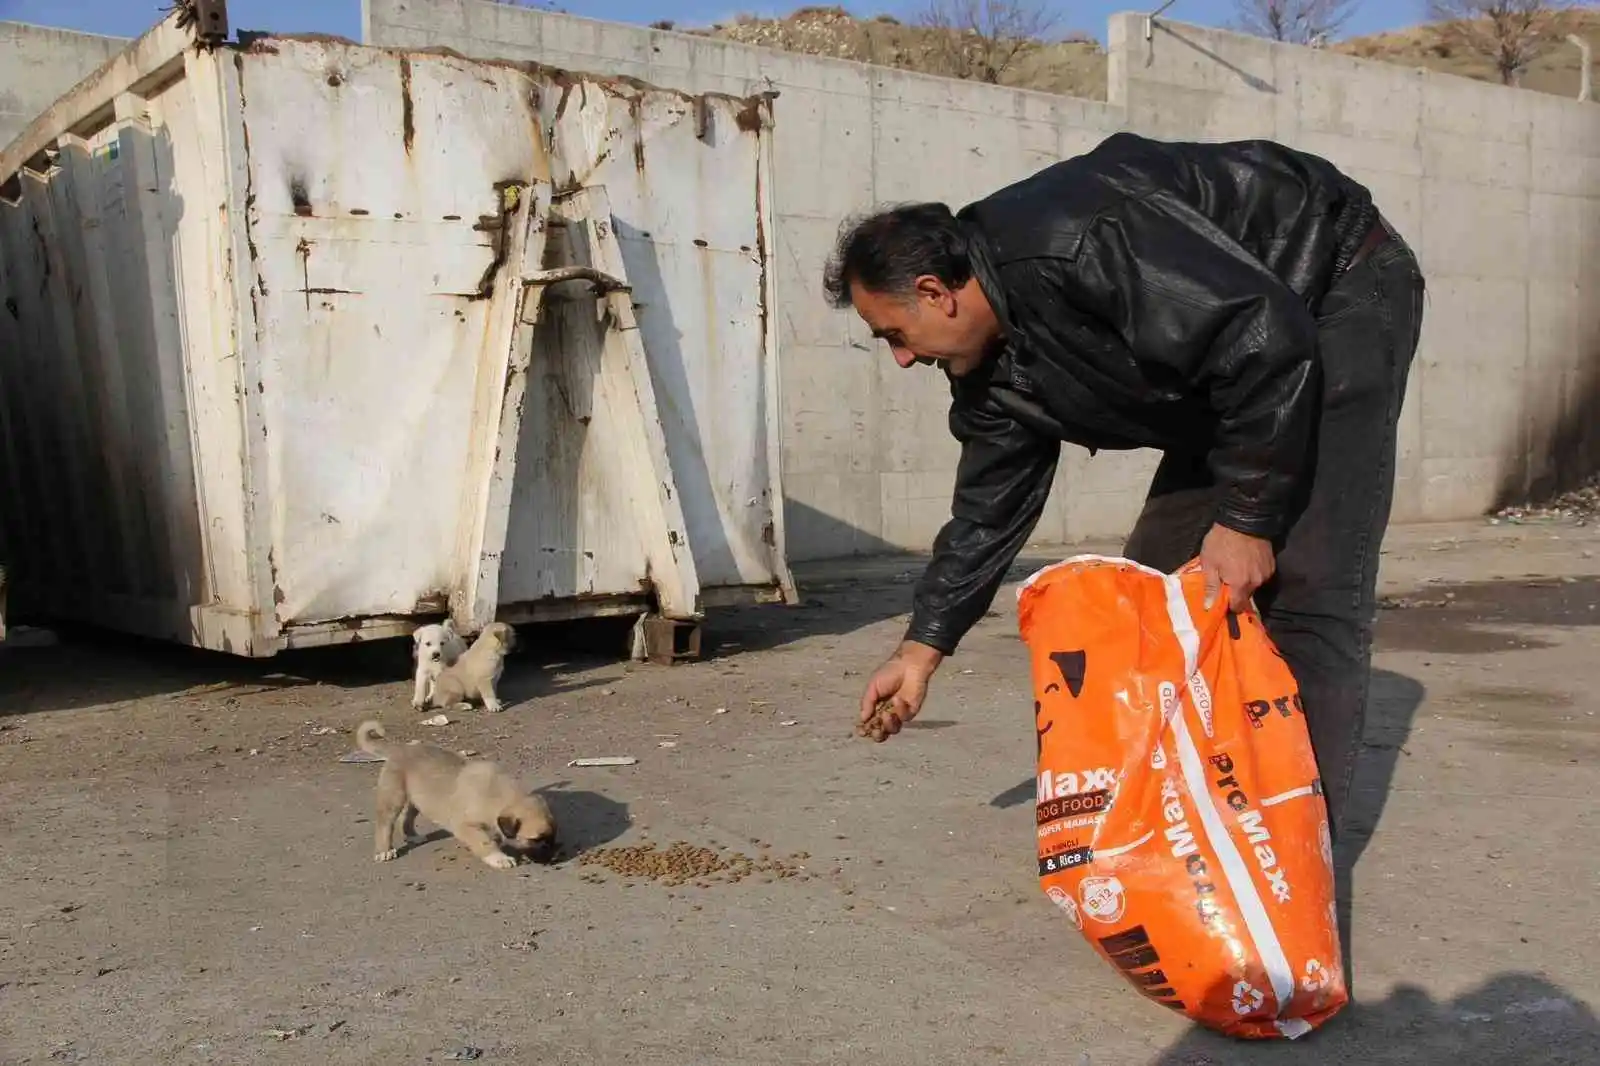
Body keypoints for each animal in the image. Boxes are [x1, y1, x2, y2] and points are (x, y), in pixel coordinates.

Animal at [356, 717, 556, 870]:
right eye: (536, 839)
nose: (555, 856)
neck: (498, 794)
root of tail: (400, 748)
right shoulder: (465, 825)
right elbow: (483, 841)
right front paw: (498, 857)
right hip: (393, 796)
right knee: (385, 823)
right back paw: (384, 850)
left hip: (419, 798)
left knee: (407, 816)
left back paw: (412, 835)